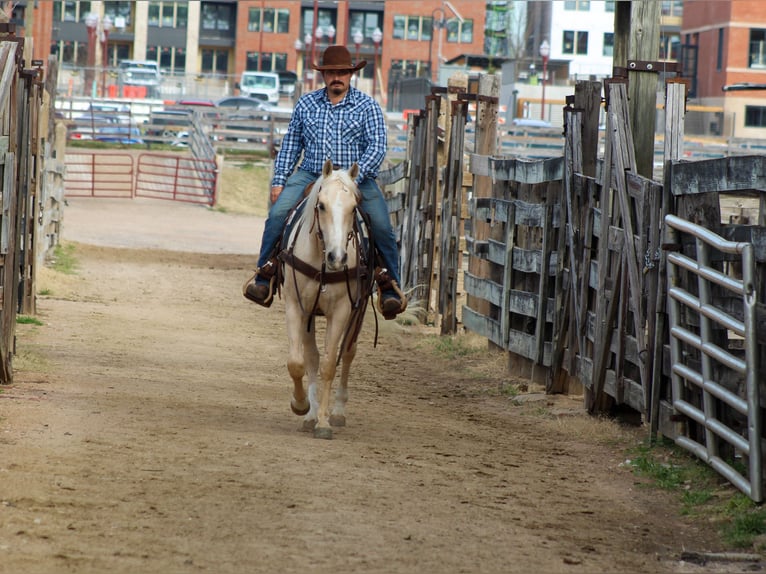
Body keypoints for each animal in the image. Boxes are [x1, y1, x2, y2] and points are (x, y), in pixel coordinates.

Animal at [280, 160, 380, 444]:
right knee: (311, 356)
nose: (338, 257)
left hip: (359, 311)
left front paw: (324, 422)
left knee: (347, 353)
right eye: (321, 205)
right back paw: (310, 413)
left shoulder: (342, 311)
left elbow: (328, 365)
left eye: (353, 207)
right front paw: (302, 406)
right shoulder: (296, 306)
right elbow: (299, 362)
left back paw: (336, 412)